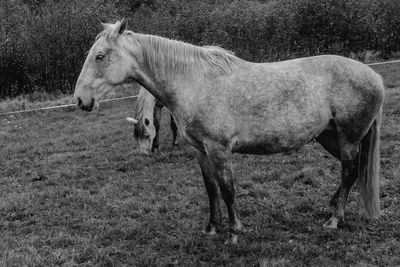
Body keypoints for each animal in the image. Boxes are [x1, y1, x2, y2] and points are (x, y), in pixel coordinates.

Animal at [74, 19, 384, 244]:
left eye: (100, 56)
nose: (80, 100)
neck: (195, 82)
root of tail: (374, 76)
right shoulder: (201, 150)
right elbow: (211, 189)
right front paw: (212, 228)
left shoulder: (219, 149)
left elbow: (227, 189)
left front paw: (234, 232)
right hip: (330, 136)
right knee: (353, 170)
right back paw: (333, 208)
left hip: (348, 137)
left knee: (349, 172)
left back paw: (334, 219)